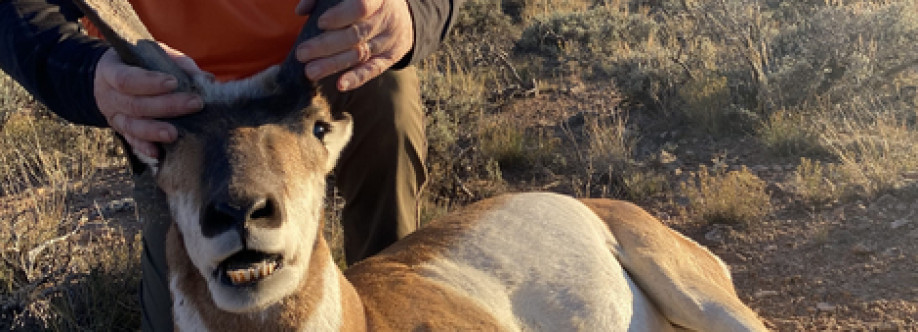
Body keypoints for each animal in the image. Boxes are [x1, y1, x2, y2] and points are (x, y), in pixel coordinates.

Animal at [77, 0, 768, 330]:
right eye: (164, 144)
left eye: (318, 126)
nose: (242, 212)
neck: (366, 316)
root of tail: (594, 202)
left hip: (705, 299)